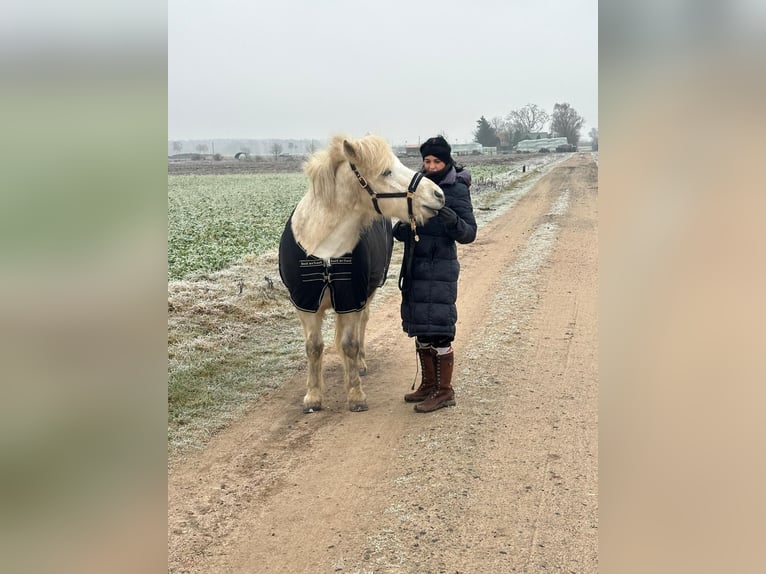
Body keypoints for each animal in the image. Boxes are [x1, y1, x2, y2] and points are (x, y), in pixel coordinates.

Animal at [278, 134, 445, 412]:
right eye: (386, 171)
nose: (439, 194)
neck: (324, 247)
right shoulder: (306, 305)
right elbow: (314, 347)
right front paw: (313, 397)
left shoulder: (351, 300)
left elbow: (350, 345)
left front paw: (356, 395)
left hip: (365, 297)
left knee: (362, 326)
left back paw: (362, 364)